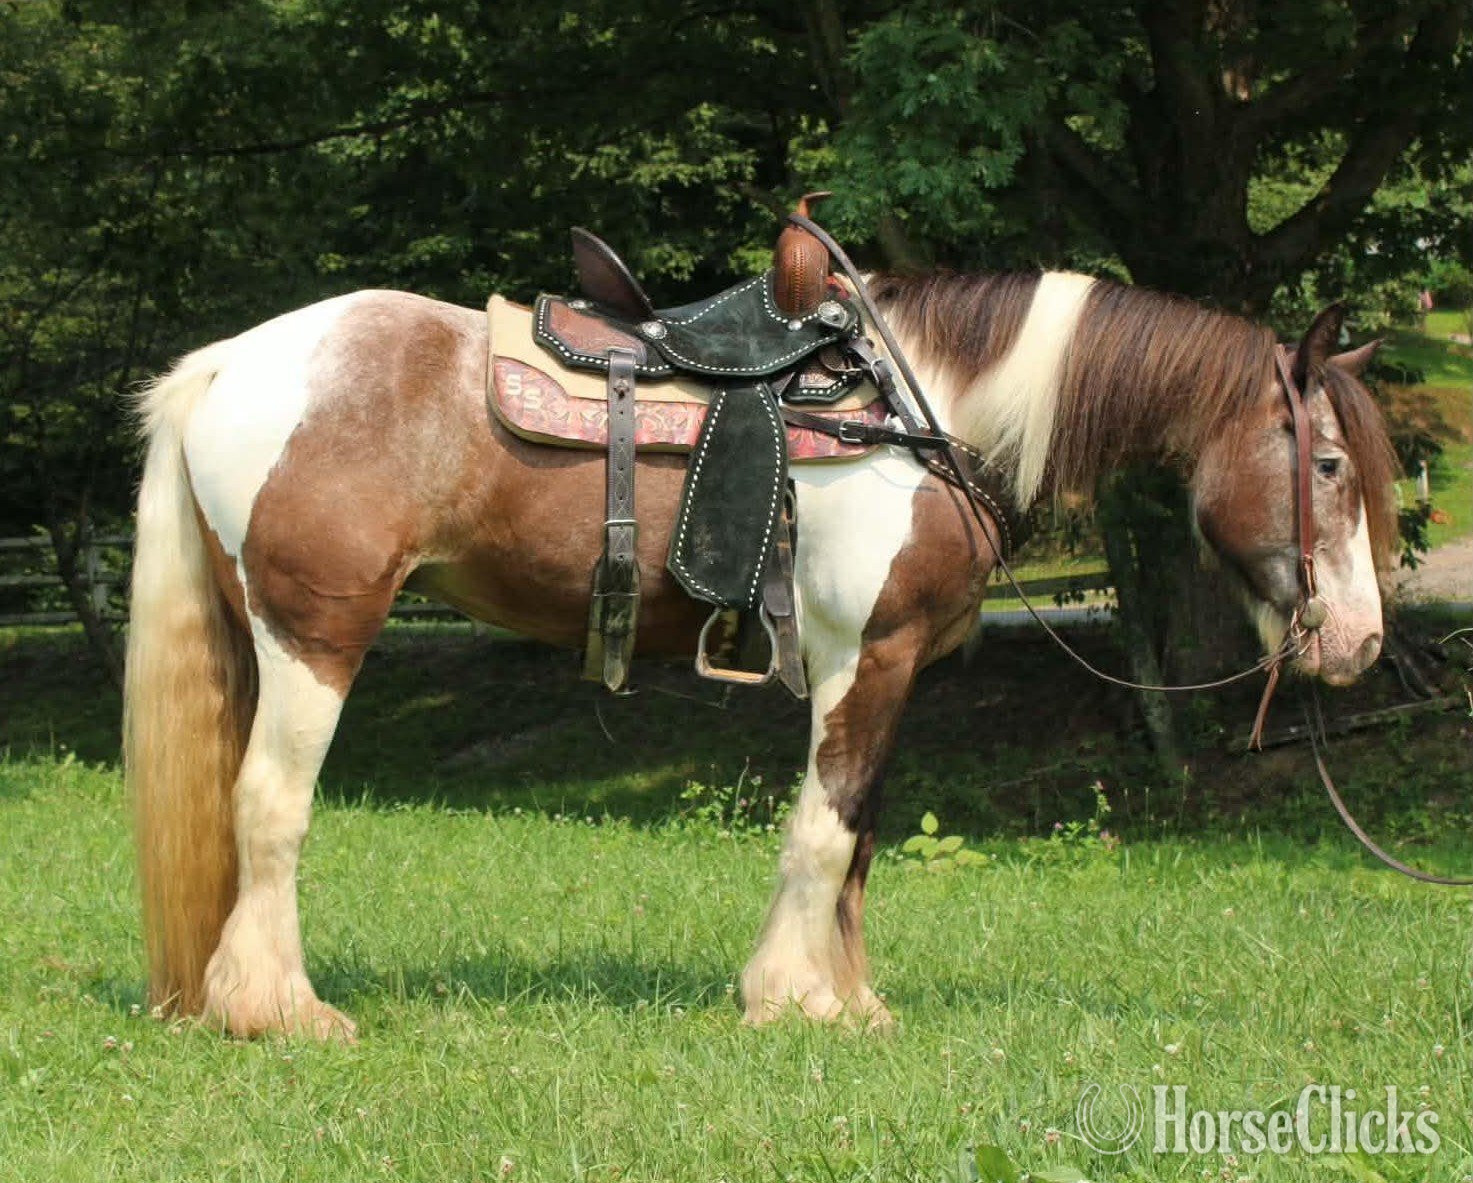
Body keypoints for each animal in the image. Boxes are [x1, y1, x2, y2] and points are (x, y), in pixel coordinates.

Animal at [124, 268, 1396, 1038]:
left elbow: (862, 834)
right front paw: (794, 998)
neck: (915, 417)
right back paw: (280, 1008)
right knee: (270, 804)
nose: (1362, 640)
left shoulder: (894, 673)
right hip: (317, 636)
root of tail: (232, 362)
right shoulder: (862, 660)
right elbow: (822, 829)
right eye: (1330, 465)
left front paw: (852, 999)